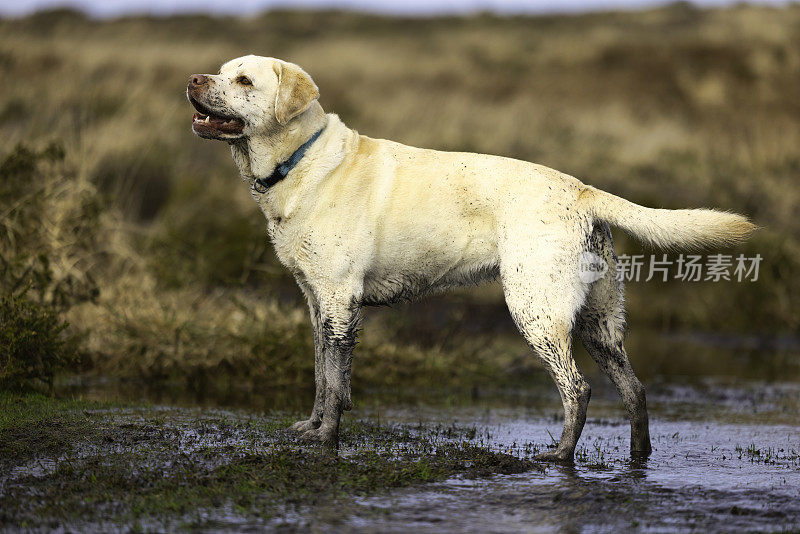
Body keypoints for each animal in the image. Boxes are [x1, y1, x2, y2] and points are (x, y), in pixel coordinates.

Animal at [188, 54, 756, 462]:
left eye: (243, 80)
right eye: (220, 70)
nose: (193, 79)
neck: (299, 160)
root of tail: (582, 191)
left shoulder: (338, 302)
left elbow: (332, 382)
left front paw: (326, 439)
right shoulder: (316, 303)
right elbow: (322, 374)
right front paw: (311, 426)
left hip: (536, 311)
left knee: (578, 389)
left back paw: (559, 456)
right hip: (599, 321)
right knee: (634, 391)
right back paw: (638, 457)